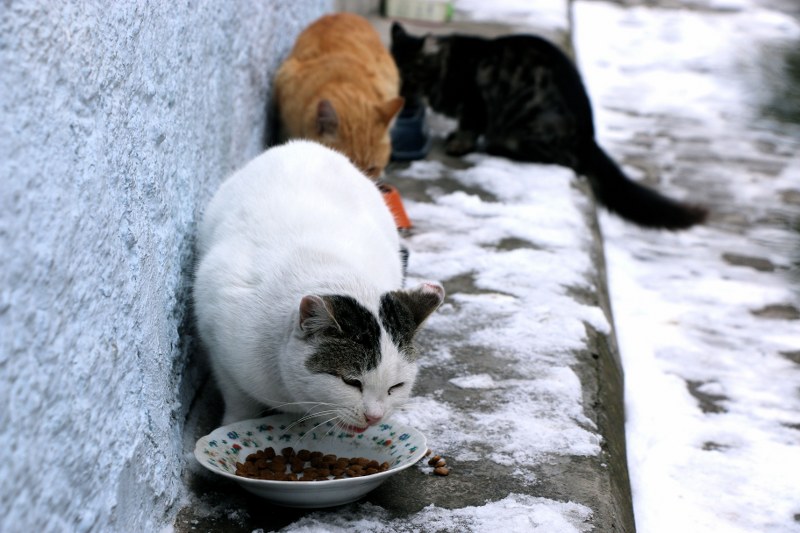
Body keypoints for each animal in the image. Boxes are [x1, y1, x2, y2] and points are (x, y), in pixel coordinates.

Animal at [194, 140, 444, 428]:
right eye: (351, 382)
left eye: (396, 387)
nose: (374, 417)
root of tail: (305, 144)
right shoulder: (221, 350)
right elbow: (239, 402)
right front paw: (232, 426)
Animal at [390, 23, 708, 230]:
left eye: (409, 75)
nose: (399, 94)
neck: (445, 67)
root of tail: (589, 138)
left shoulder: (475, 98)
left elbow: (469, 126)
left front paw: (458, 144)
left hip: (531, 124)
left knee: (563, 161)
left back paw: (498, 148)